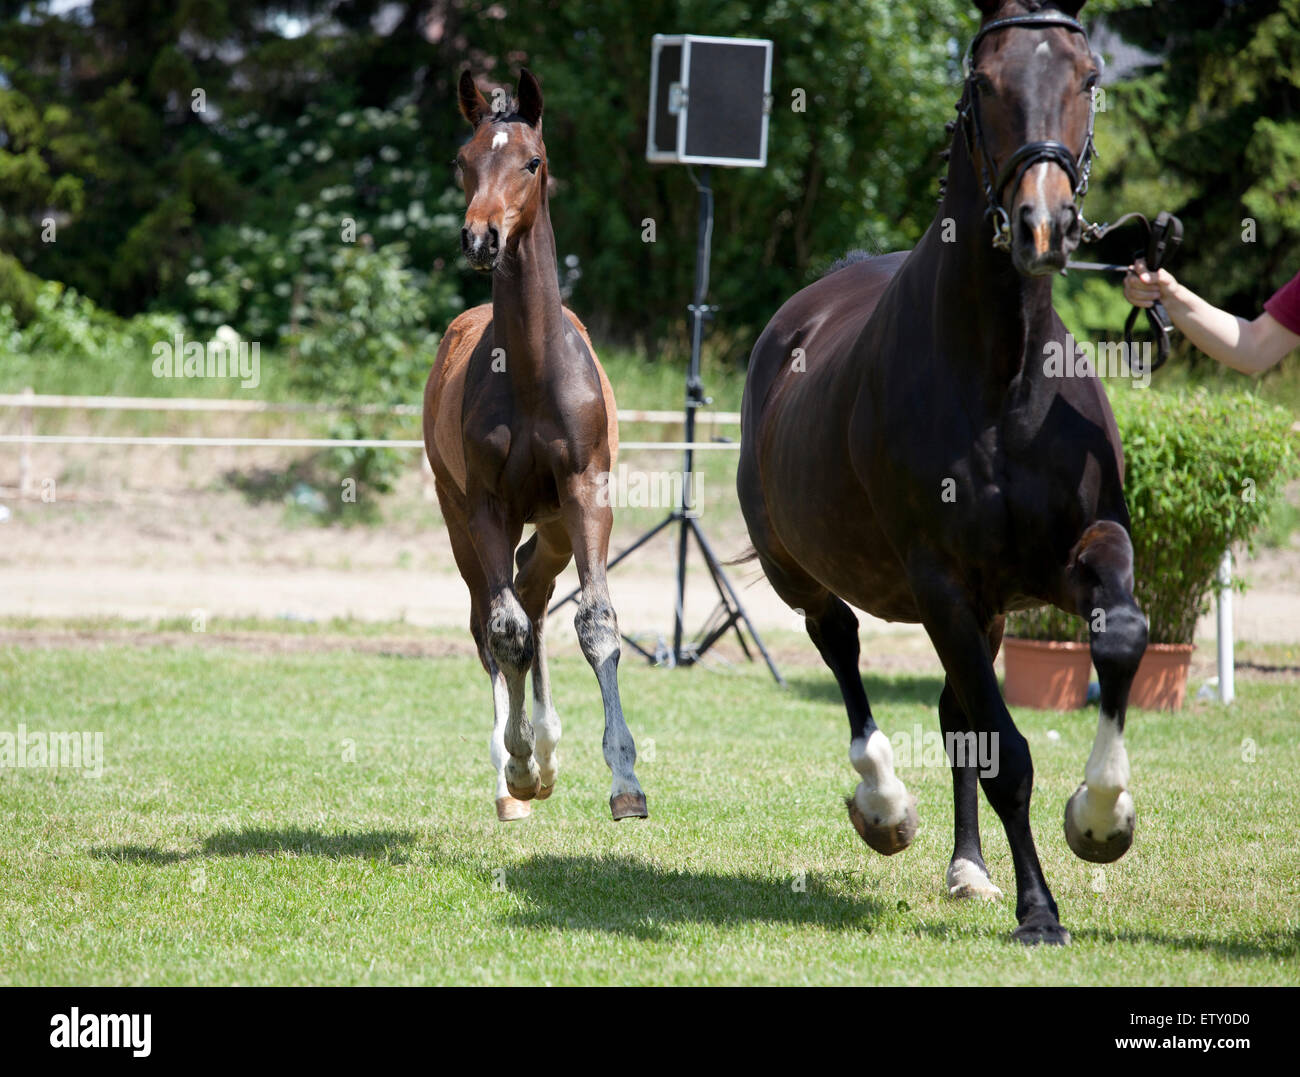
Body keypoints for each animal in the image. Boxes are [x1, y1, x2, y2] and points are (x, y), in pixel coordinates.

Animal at [426, 67, 650, 822]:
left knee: (534, 592)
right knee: (492, 620)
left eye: (531, 161)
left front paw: (625, 781)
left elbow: (597, 622)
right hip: (458, 518)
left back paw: (549, 749)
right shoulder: (487, 507)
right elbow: (506, 630)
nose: (481, 238)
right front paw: (520, 764)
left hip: (551, 527)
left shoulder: (586, 495)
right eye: (462, 159)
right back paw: (515, 776)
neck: (529, 372)